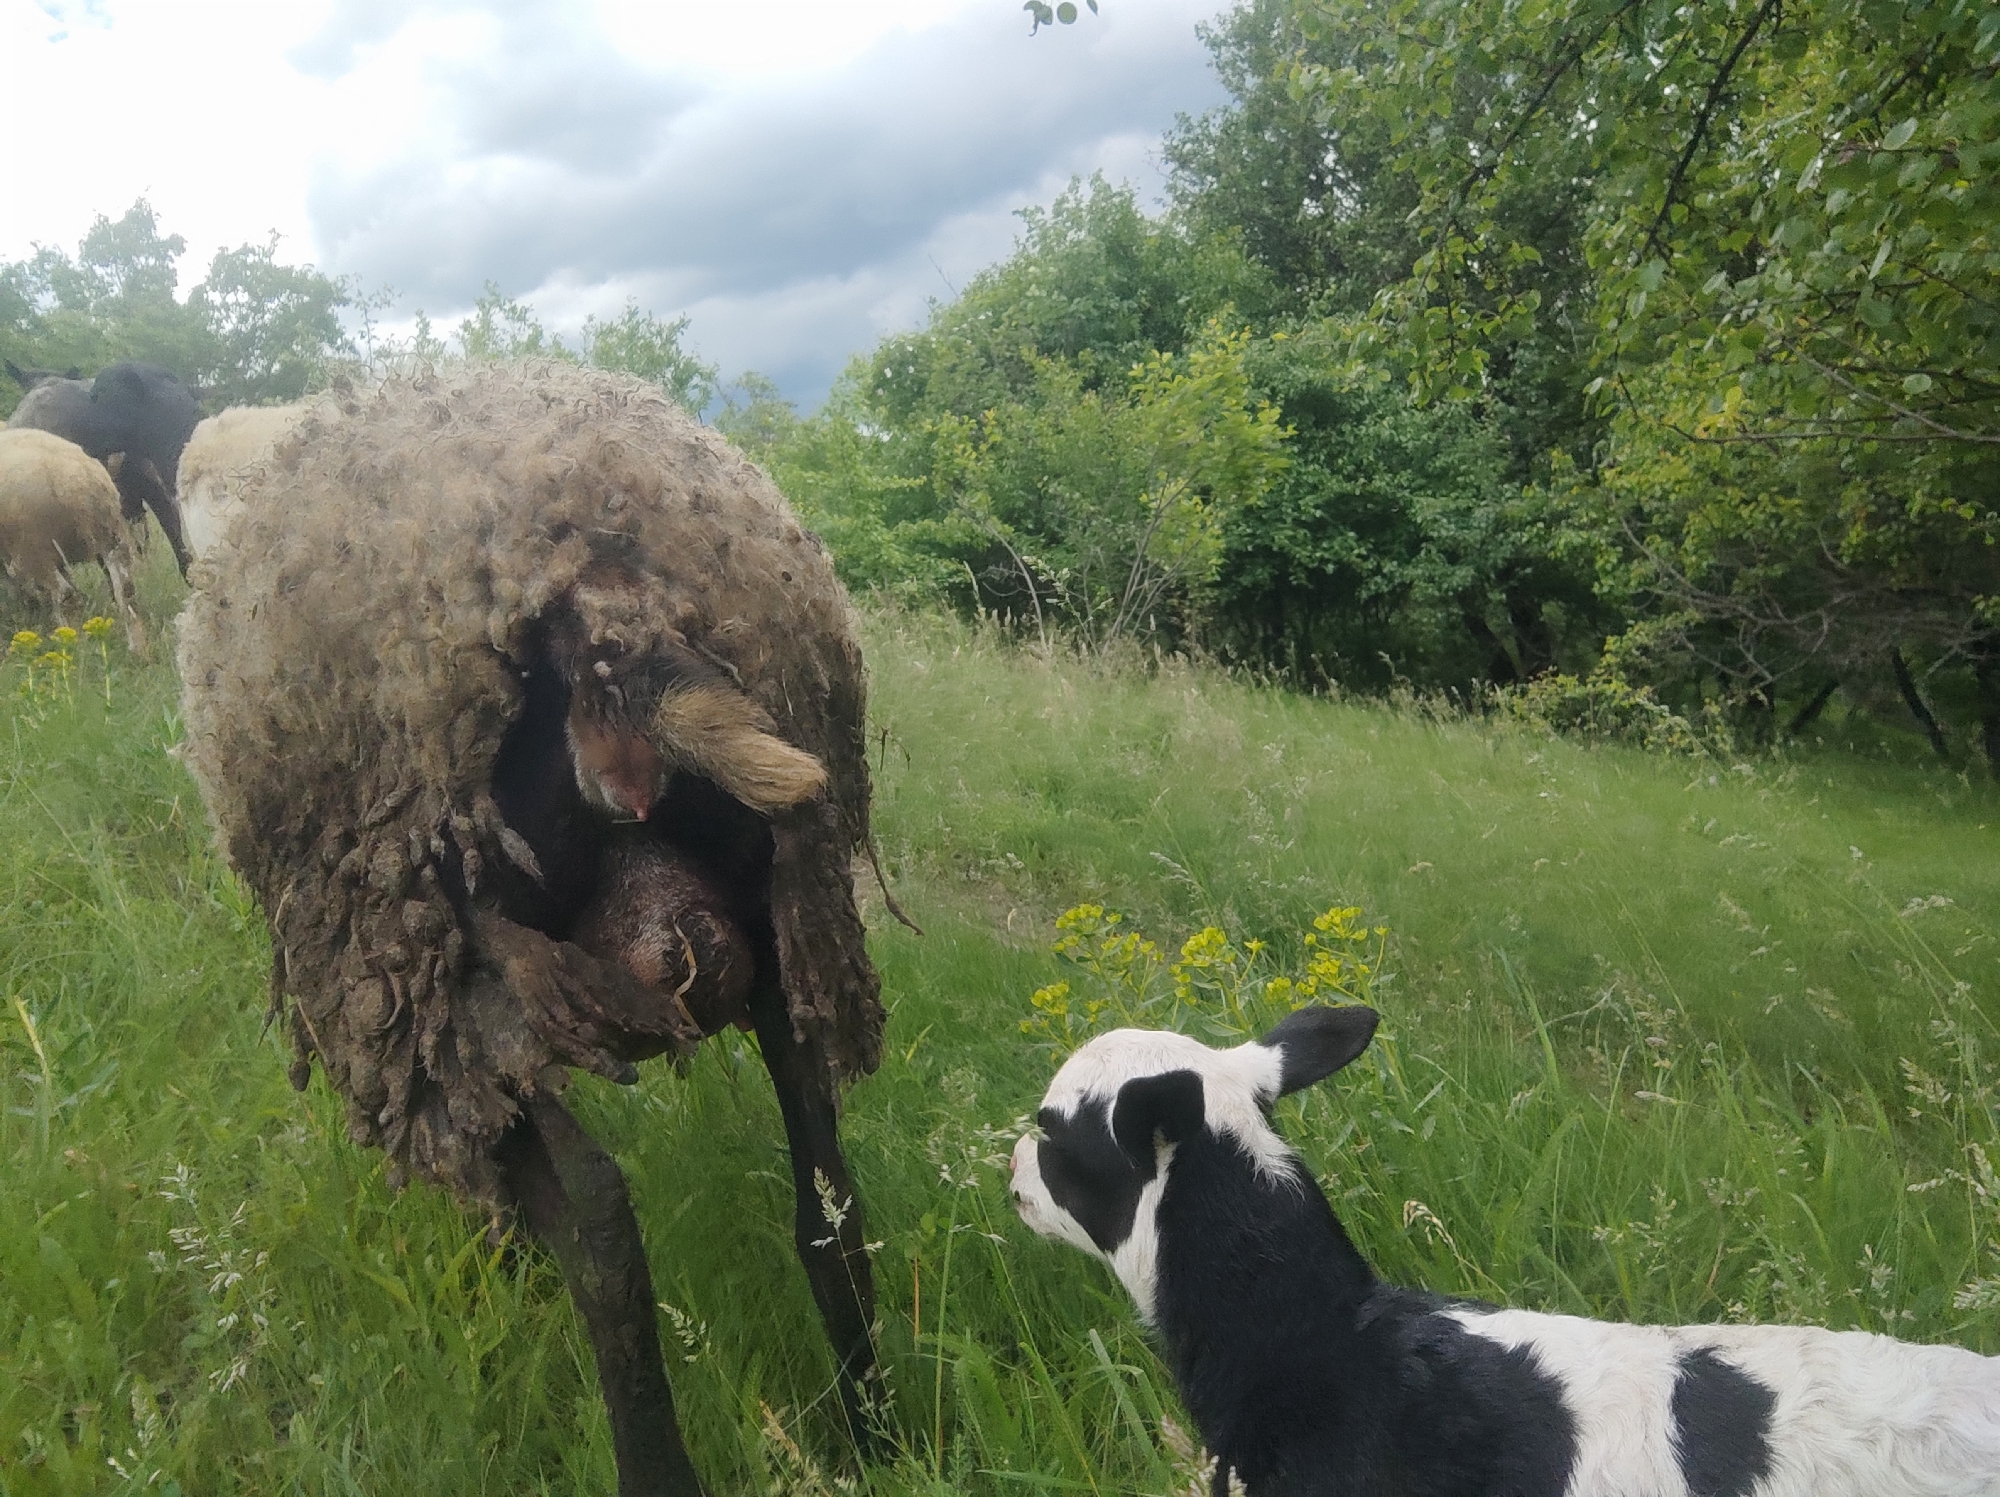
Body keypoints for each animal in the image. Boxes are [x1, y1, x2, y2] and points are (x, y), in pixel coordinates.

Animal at [0, 428, 146, 654]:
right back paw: (137, 650)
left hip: (34, 550)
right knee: (126, 591)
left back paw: (70, 647)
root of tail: (77, 479)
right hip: (110, 534)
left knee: (66, 596)